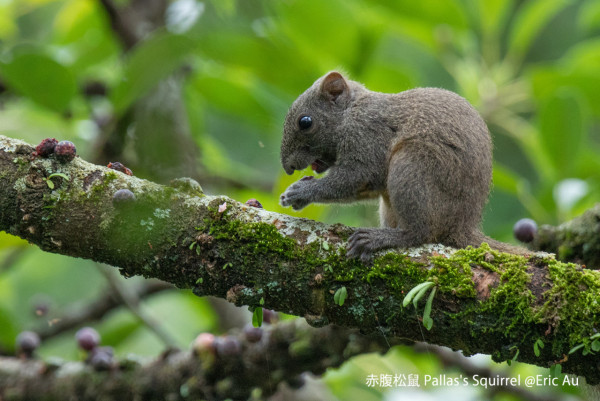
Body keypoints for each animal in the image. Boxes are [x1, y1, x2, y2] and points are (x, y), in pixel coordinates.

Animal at [278, 71, 524, 262]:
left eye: (305, 122)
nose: (288, 167)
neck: (350, 113)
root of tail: (461, 225)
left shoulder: (367, 136)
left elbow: (355, 177)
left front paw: (301, 192)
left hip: (411, 167)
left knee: (420, 233)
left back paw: (380, 238)